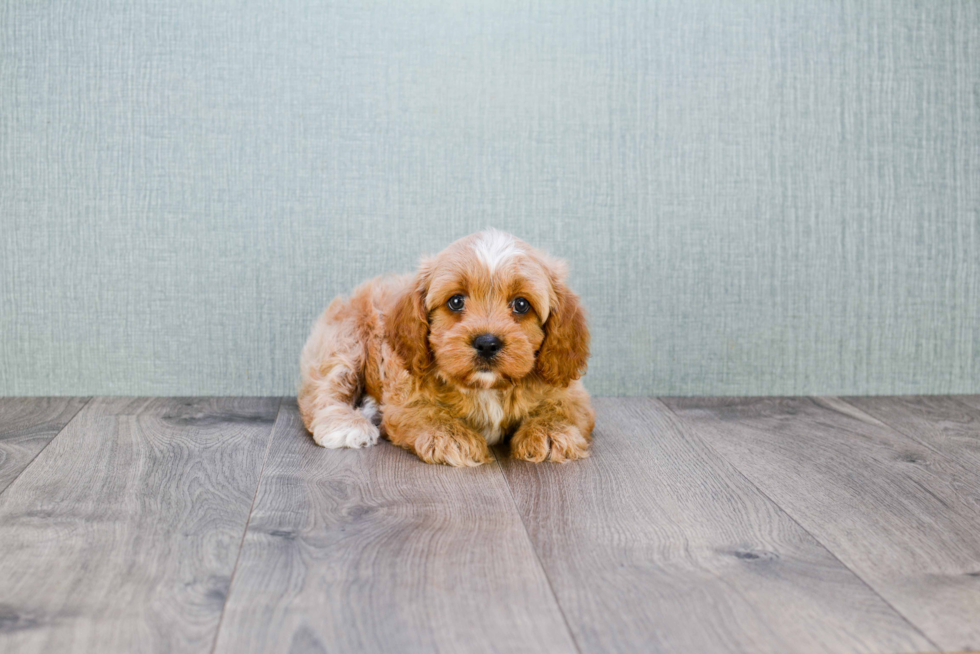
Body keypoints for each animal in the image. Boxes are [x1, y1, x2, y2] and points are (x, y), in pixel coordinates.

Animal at [294, 231, 592, 466]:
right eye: (456, 301)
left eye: (521, 304)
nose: (487, 343)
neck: (487, 388)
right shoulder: (404, 396)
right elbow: (426, 413)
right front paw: (453, 437)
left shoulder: (571, 393)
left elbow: (563, 409)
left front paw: (551, 433)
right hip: (346, 339)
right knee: (324, 390)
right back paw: (346, 424)